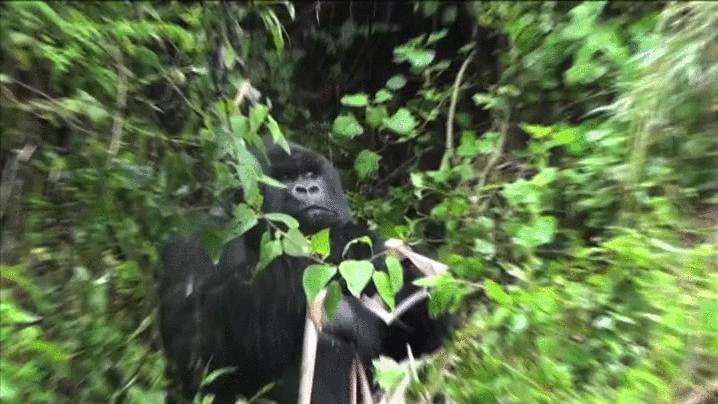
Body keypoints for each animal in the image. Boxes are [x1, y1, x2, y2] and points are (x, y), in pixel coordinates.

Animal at [160, 140, 452, 402]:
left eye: (312, 175)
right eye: (286, 178)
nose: (308, 188)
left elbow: (422, 346)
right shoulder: (202, 241)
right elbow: (197, 347)